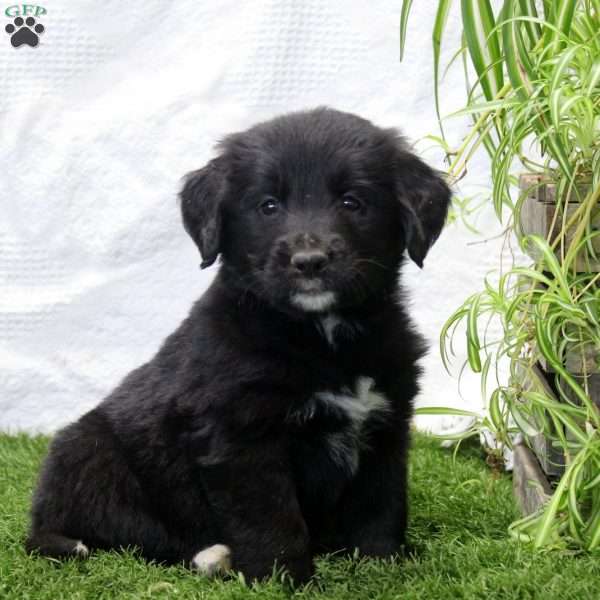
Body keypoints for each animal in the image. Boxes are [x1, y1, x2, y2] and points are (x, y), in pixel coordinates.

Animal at [27, 106, 450, 580]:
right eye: (268, 206)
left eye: (351, 202)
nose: (309, 261)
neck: (322, 336)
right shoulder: (241, 434)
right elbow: (271, 518)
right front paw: (285, 578)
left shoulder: (386, 423)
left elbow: (381, 504)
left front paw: (383, 564)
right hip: (88, 454)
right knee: (133, 535)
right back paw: (212, 556)